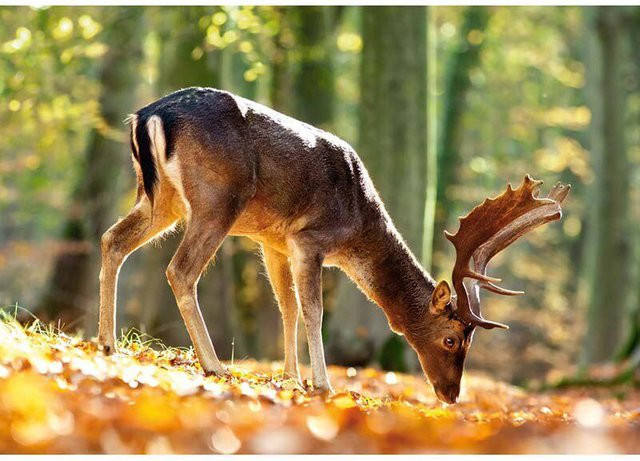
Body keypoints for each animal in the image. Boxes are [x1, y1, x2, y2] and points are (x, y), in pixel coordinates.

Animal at [98, 87, 570, 404]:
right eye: (453, 339)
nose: (451, 394)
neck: (359, 224)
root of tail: (148, 115)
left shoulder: (273, 240)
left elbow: (286, 307)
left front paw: (291, 378)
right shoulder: (310, 239)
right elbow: (313, 310)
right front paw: (322, 383)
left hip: (160, 199)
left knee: (112, 240)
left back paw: (107, 343)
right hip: (217, 199)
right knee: (180, 270)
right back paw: (213, 364)